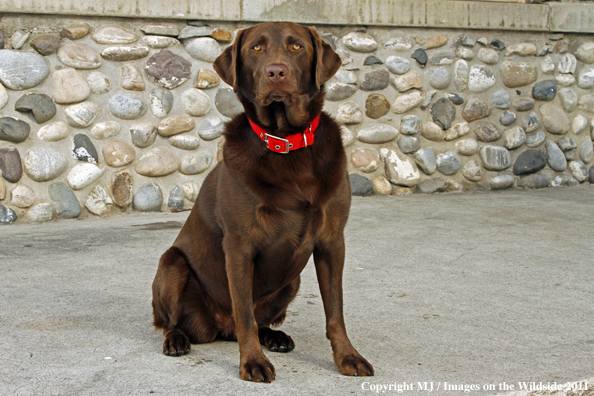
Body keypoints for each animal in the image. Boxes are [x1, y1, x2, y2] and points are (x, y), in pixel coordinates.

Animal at [155, 21, 372, 380]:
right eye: (256, 48)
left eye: (297, 46)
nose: (276, 72)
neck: (286, 141)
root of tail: (219, 327)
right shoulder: (240, 244)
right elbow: (244, 313)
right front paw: (253, 362)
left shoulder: (332, 240)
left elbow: (335, 310)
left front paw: (348, 356)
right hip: (171, 263)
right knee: (173, 322)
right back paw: (176, 340)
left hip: (292, 281)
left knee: (260, 320)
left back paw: (276, 336)